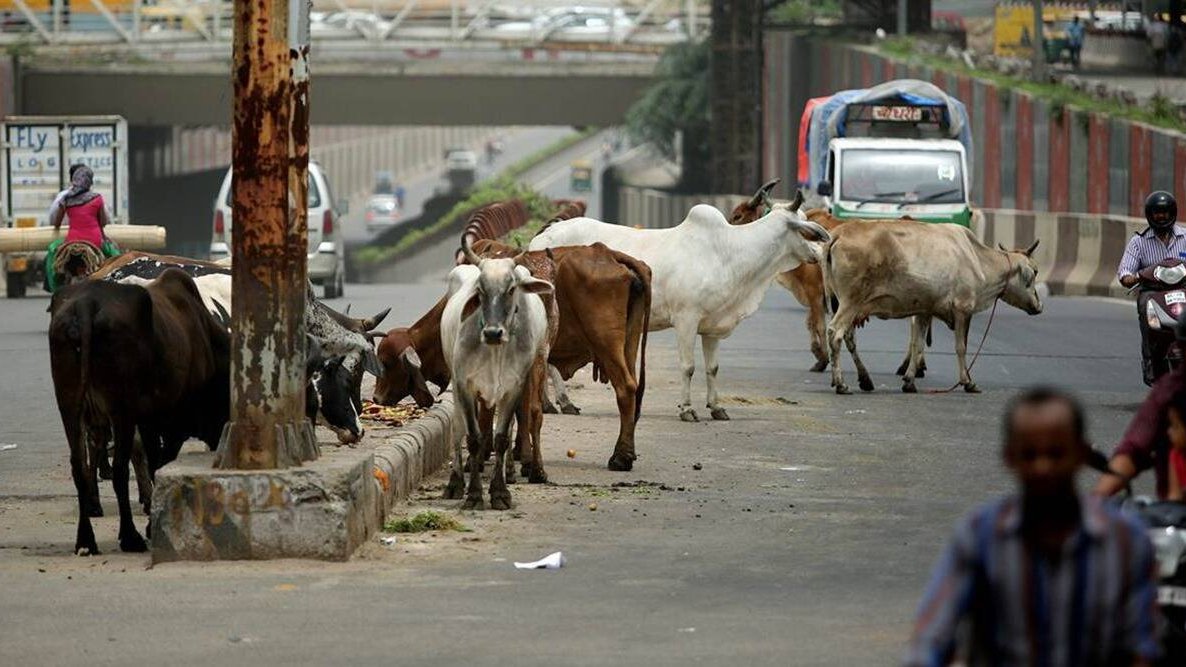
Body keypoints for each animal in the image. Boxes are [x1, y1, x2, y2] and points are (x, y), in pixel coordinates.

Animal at [49, 269, 230, 555]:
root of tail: (86, 304)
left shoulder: (149, 420)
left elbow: (153, 461)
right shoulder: (171, 422)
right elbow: (159, 463)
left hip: (70, 405)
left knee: (80, 467)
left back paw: (86, 539)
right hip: (121, 411)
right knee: (119, 470)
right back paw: (129, 537)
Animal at [372, 240, 651, 473]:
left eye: (386, 362)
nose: (376, 397)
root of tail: (609, 253)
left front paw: (489, 453)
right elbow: (520, 408)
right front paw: (519, 454)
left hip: (606, 342)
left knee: (625, 389)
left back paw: (620, 457)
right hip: (629, 342)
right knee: (633, 388)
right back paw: (627, 451)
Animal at [441, 240, 553, 510]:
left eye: (511, 289)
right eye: (480, 290)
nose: (493, 333)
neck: (496, 351)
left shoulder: (513, 388)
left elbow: (501, 437)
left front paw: (500, 492)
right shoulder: (465, 385)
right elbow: (473, 437)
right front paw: (473, 494)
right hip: (455, 384)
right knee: (457, 429)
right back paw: (455, 483)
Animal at [529, 200, 829, 422]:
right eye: (805, 231)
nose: (820, 251)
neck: (728, 252)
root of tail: (541, 238)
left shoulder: (712, 327)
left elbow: (713, 368)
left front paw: (716, 407)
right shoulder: (686, 320)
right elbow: (689, 367)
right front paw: (687, 409)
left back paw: (553, 404)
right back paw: (561, 403)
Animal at [822, 219, 1042, 394]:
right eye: (1035, 271)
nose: (1039, 306)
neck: (978, 259)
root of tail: (839, 233)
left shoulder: (924, 310)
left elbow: (917, 344)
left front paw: (909, 381)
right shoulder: (963, 308)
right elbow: (961, 347)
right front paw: (967, 382)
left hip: (841, 303)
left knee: (845, 336)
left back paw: (853, 380)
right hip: (851, 302)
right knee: (835, 333)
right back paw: (842, 384)